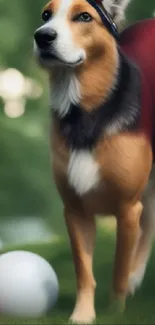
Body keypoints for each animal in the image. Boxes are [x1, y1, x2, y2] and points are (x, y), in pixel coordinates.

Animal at [33, 0, 155, 322]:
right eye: (46, 15)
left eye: (84, 16)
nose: (42, 36)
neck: (85, 112)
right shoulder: (75, 210)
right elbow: (83, 271)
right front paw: (83, 315)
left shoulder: (127, 209)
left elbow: (119, 269)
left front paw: (116, 313)